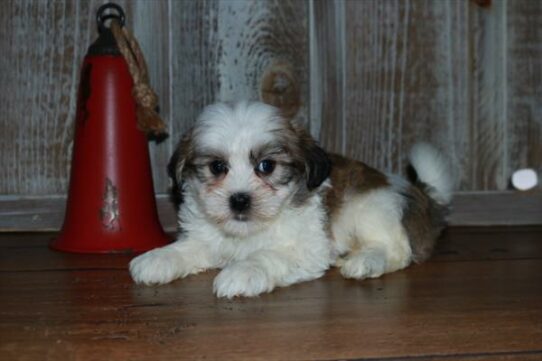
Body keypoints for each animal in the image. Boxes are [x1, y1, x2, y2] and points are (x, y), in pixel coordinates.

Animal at [129, 100, 454, 296]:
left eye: (267, 166)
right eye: (217, 167)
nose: (239, 200)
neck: (247, 232)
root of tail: (419, 194)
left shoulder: (307, 248)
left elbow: (266, 255)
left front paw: (242, 271)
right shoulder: (206, 237)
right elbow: (187, 247)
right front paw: (158, 258)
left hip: (371, 208)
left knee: (398, 250)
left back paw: (364, 261)